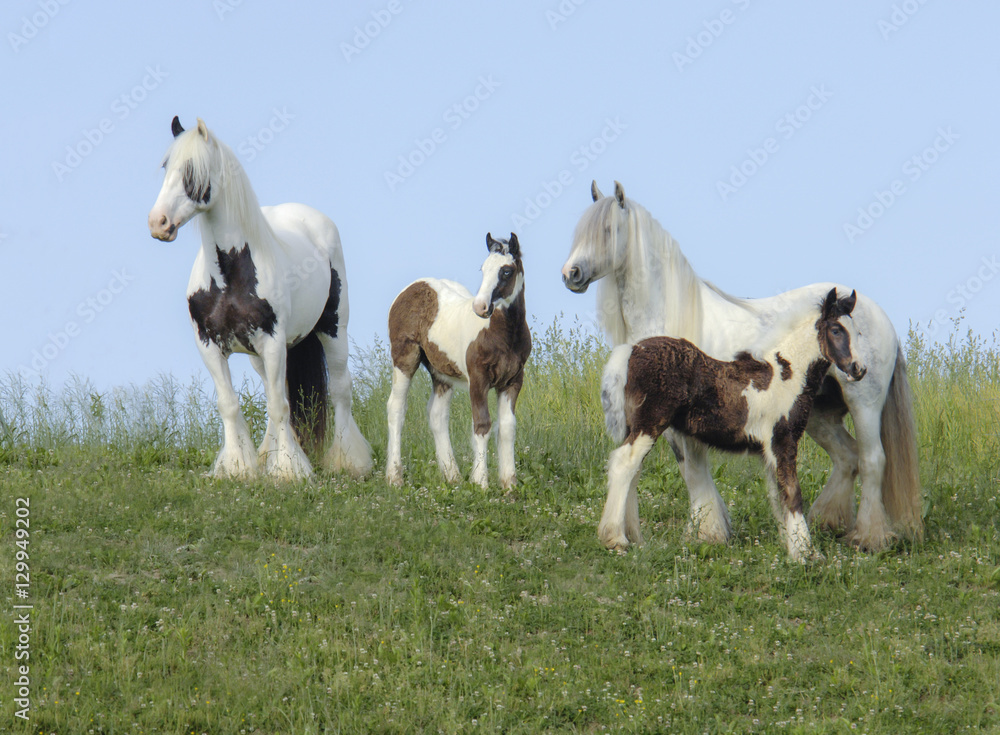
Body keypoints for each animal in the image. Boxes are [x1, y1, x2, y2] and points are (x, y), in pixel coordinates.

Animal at [147, 116, 372, 481]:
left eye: (192, 170)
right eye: (167, 166)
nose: (159, 223)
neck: (228, 276)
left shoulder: (273, 340)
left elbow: (279, 405)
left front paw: (288, 472)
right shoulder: (209, 345)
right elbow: (231, 404)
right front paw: (239, 467)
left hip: (334, 329)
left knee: (340, 388)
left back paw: (348, 461)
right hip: (259, 355)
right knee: (275, 390)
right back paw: (270, 454)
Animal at [386, 232, 531, 489]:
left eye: (506, 271)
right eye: (483, 269)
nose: (480, 307)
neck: (503, 334)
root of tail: (411, 287)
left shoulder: (513, 380)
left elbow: (507, 427)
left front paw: (509, 484)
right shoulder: (478, 379)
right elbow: (482, 425)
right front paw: (481, 482)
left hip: (442, 372)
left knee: (437, 415)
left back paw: (452, 476)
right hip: (404, 358)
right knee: (396, 408)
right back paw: (394, 477)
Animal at [601, 287, 866, 561]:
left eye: (858, 332)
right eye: (836, 330)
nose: (859, 369)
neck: (787, 376)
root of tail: (633, 348)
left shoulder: (769, 452)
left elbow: (777, 495)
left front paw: (794, 546)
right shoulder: (783, 442)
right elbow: (793, 493)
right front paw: (804, 553)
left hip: (636, 427)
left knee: (632, 471)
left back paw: (635, 537)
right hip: (649, 424)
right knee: (624, 465)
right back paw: (616, 539)